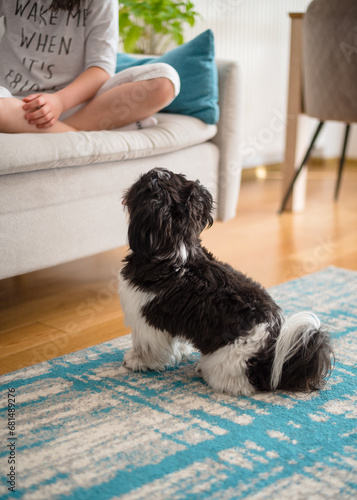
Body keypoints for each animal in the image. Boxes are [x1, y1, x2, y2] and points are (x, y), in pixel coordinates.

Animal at [118, 170, 332, 396]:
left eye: (142, 184)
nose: (140, 175)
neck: (178, 250)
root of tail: (270, 358)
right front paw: (181, 351)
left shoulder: (144, 318)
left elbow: (147, 347)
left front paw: (137, 361)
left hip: (227, 361)